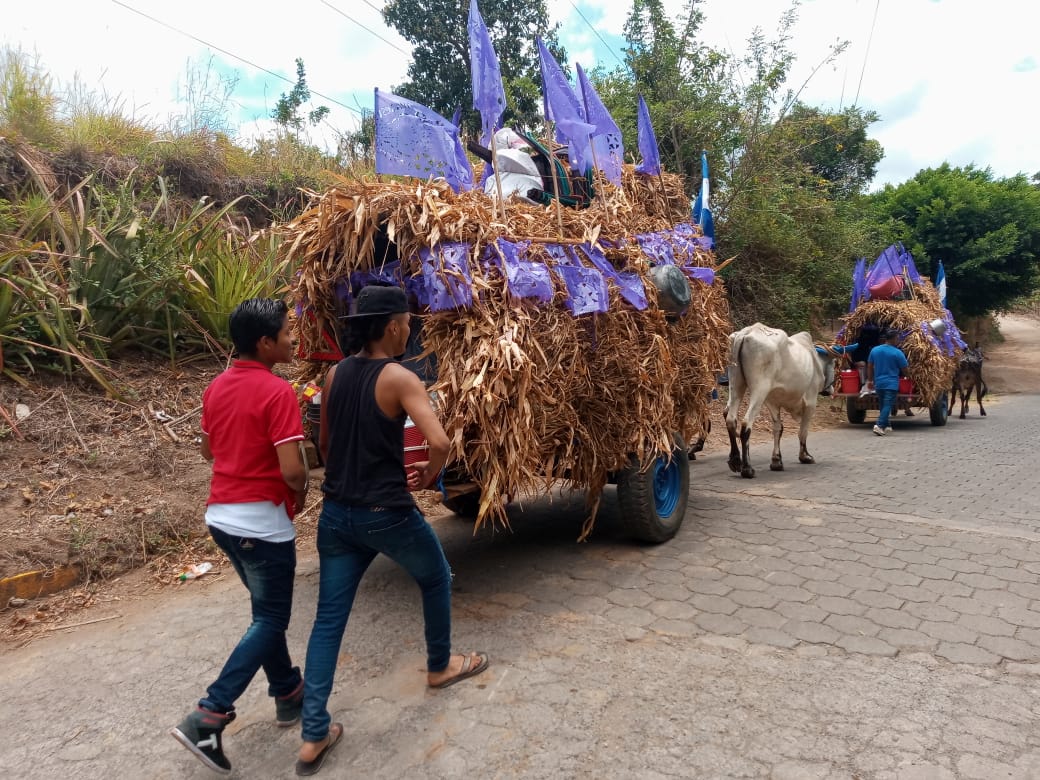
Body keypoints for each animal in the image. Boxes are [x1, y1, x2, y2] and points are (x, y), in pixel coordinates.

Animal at [723, 322, 844, 476]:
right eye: (834, 364)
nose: (831, 390)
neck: (814, 359)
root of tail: (746, 333)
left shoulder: (772, 402)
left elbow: (778, 429)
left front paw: (776, 461)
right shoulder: (811, 402)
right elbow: (803, 431)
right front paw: (805, 456)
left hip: (736, 384)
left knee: (731, 419)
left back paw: (735, 461)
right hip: (759, 390)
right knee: (746, 424)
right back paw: (747, 468)